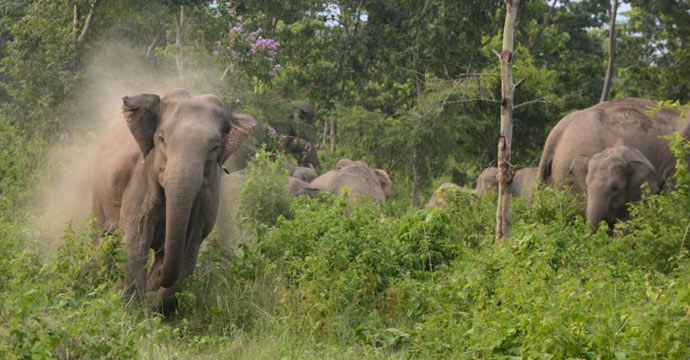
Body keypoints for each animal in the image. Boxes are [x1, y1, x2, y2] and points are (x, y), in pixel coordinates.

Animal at [88, 88, 255, 314]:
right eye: (161, 139)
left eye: (214, 148)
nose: (157, 279)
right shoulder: (141, 178)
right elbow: (136, 237)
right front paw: (134, 309)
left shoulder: (208, 196)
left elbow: (189, 249)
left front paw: (153, 304)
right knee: (103, 237)